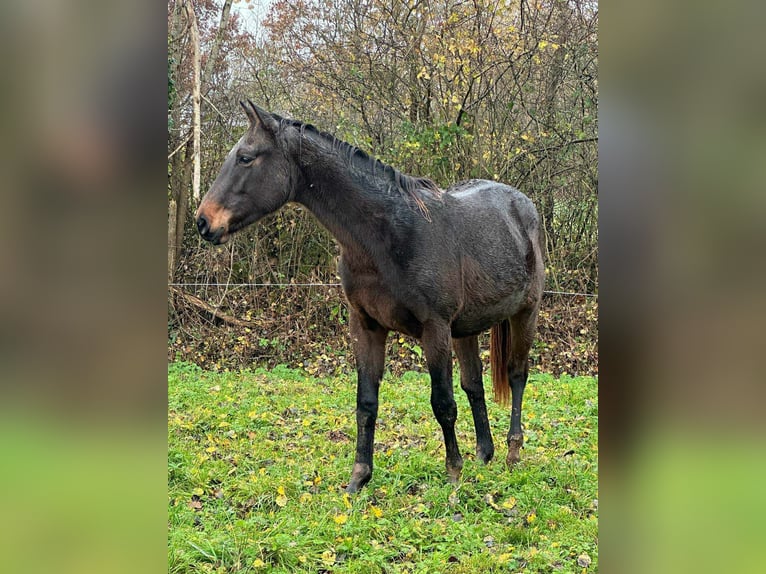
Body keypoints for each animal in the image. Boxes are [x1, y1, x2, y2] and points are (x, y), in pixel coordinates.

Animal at [198, 100, 544, 496]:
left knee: (517, 376)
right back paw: (484, 454)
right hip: (465, 330)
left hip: (524, 313)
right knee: (475, 386)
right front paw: (358, 478)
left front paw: (453, 474)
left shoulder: (435, 330)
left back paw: (512, 452)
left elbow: (442, 403)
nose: (203, 222)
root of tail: (522, 205)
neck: (389, 234)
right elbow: (366, 403)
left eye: (245, 157)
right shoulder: (366, 326)